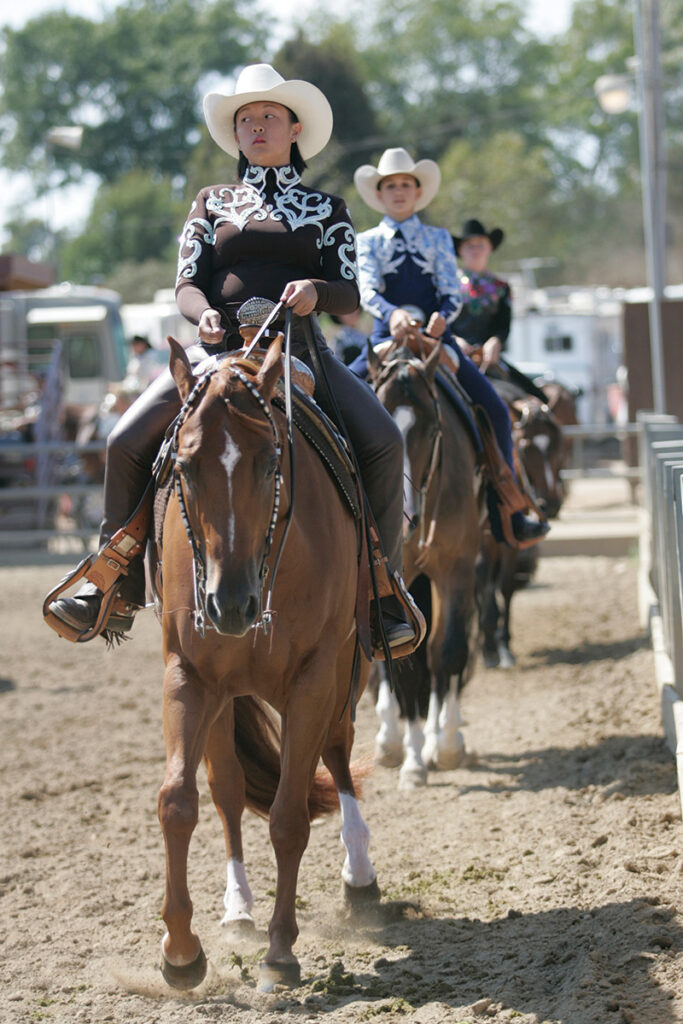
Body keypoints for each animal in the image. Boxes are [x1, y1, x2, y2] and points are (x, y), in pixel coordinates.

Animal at [150, 339, 374, 987]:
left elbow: (289, 817)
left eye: (271, 462)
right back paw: (237, 909)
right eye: (184, 468)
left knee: (338, 754)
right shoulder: (187, 675)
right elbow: (178, 801)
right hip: (228, 695)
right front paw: (181, 951)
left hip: (346, 668)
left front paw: (280, 952)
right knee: (226, 789)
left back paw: (360, 874)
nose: (230, 602)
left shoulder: (315, 679)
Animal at [368, 344, 481, 782]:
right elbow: (409, 663)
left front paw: (445, 745)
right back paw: (392, 741)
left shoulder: (457, 570)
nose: (403, 517)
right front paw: (413, 761)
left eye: (433, 430)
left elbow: (447, 651)